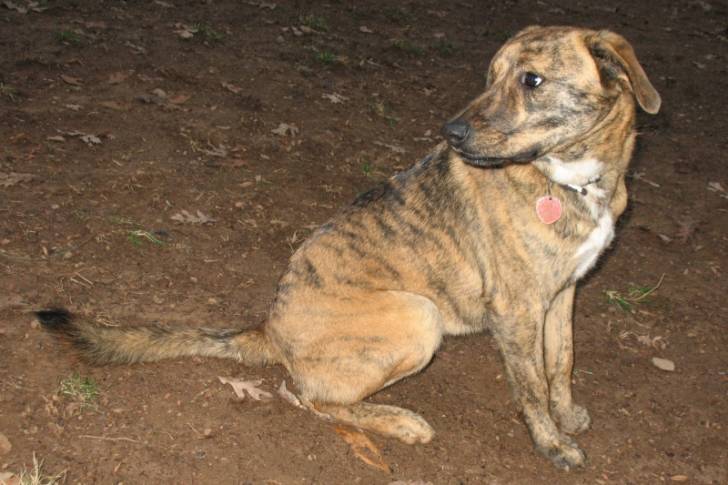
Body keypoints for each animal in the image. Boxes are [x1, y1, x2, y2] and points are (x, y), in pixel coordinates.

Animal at [37, 26, 660, 469]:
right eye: (492, 75)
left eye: (532, 80)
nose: (450, 132)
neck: (575, 179)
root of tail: (269, 328)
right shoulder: (517, 310)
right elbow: (530, 386)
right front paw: (551, 445)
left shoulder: (563, 293)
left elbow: (561, 362)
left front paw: (566, 415)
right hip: (419, 316)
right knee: (311, 397)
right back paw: (399, 420)